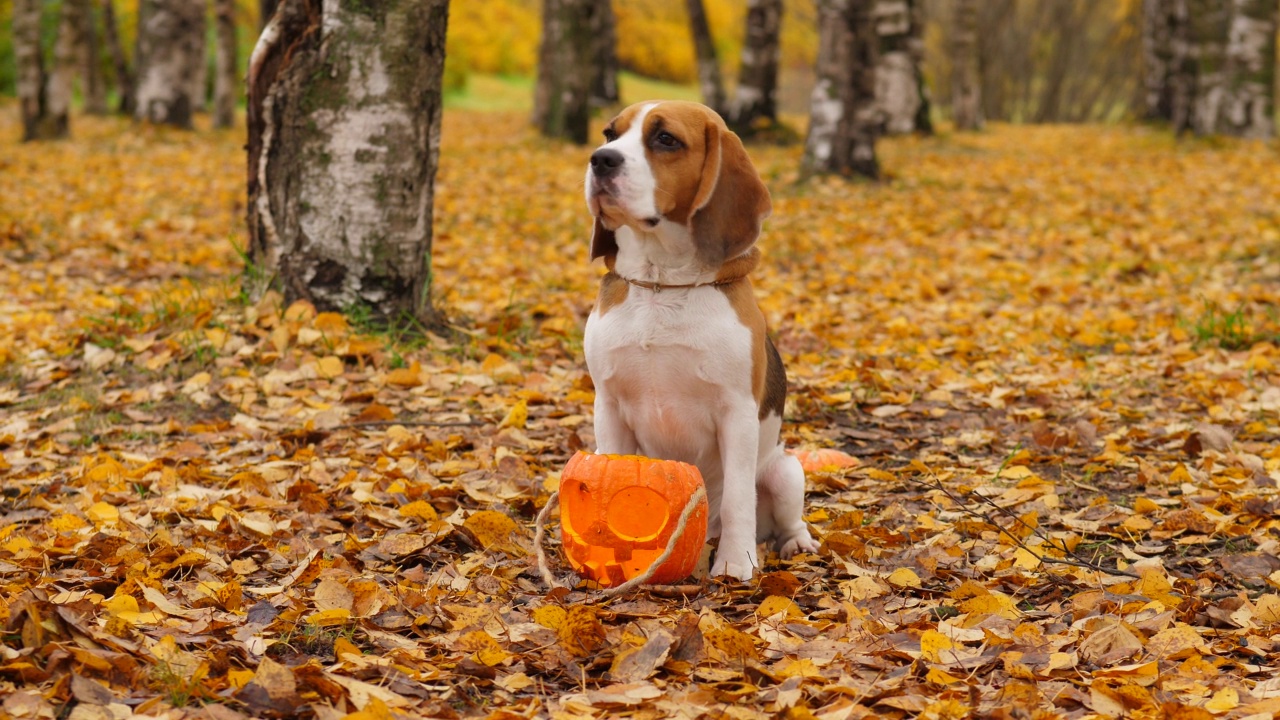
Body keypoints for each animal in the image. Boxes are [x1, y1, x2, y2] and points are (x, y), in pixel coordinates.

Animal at [583, 101, 814, 576]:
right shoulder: (608, 406)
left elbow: (740, 499)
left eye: (665, 139)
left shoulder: (737, 413)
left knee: (785, 518)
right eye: (609, 133)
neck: (661, 285)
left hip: (786, 471)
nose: (600, 159)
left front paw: (736, 563)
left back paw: (793, 543)